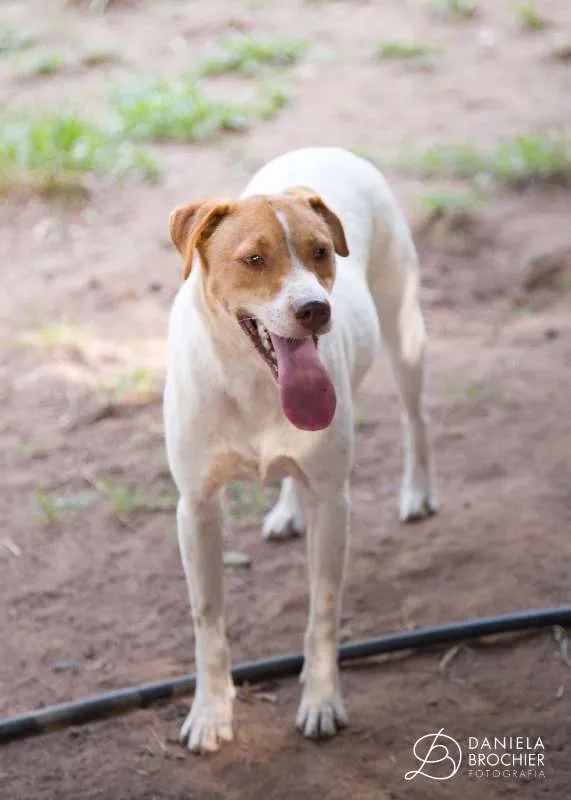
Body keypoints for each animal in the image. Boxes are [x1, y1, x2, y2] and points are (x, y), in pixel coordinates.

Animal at [165, 147, 438, 752]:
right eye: (253, 259)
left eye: (320, 253)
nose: (315, 308)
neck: (252, 383)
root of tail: (327, 150)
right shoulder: (195, 508)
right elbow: (206, 621)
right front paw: (211, 713)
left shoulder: (333, 501)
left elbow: (323, 613)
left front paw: (321, 700)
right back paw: (287, 511)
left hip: (405, 332)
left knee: (416, 418)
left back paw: (416, 493)